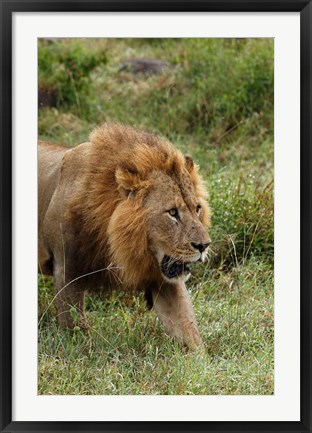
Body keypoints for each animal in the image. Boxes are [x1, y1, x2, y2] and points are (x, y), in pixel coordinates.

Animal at [37, 121, 211, 348]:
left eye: (197, 208)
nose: (204, 245)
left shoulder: (164, 279)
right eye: (172, 212)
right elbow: (76, 332)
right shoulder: (65, 270)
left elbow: (189, 329)